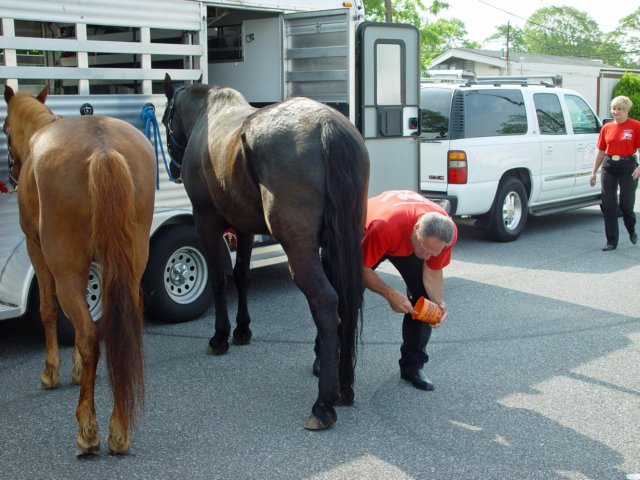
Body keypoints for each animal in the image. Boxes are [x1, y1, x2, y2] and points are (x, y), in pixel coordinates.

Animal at [3, 84, 156, 456]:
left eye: (4, 128)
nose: (11, 174)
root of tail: (102, 149)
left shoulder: (36, 250)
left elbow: (48, 310)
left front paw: (52, 372)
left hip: (64, 269)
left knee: (88, 334)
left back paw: (88, 431)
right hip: (130, 268)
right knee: (116, 330)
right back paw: (119, 430)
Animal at [161, 75, 370, 432]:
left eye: (165, 119)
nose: (173, 169)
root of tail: (327, 124)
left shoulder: (206, 221)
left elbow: (219, 279)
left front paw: (220, 337)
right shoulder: (244, 227)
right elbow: (242, 276)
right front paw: (242, 330)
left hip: (300, 247)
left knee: (325, 302)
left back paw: (324, 403)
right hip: (338, 241)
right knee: (345, 298)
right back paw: (344, 386)